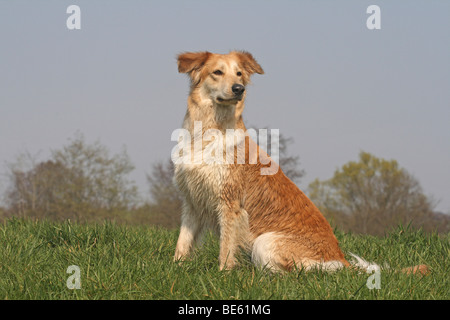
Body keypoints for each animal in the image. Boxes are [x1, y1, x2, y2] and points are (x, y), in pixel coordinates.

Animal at [172, 50, 428, 276]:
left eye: (239, 74)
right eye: (217, 72)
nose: (239, 89)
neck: (208, 130)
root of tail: (341, 259)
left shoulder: (229, 203)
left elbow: (225, 249)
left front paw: (223, 274)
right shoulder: (191, 200)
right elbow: (182, 242)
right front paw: (176, 268)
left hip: (265, 241)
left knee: (296, 273)